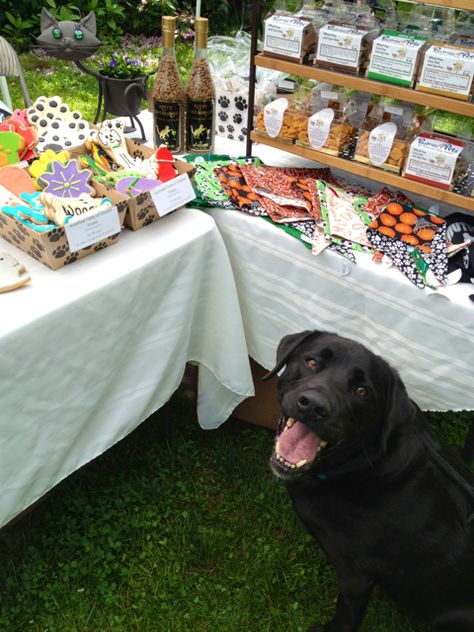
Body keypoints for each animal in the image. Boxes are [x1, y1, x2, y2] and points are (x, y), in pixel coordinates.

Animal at [262, 330, 474, 632]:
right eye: (312, 362)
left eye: (362, 391)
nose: (314, 406)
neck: (362, 467)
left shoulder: (356, 576)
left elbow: (346, 617)